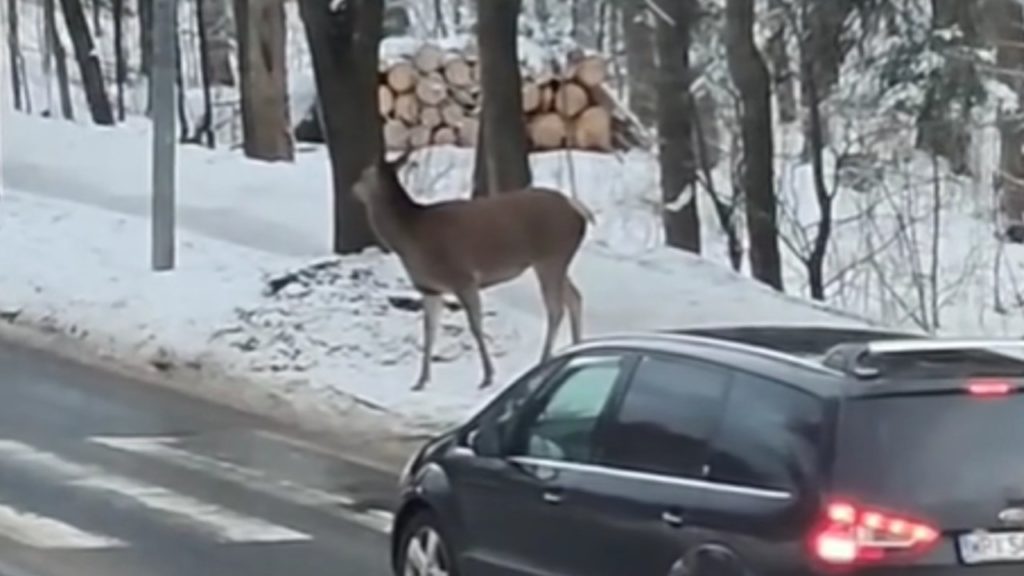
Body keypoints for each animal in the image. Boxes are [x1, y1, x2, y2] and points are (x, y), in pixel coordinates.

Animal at [352, 150, 593, 389]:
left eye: (364, 174)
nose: (353, 188)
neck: (411, 236)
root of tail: (579, 209)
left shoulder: (463, 278)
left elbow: (475, 326)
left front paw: (488, 375)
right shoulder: (429, 288)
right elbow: (429, 331)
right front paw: (421, 380)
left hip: (551, 257)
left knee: (556, 308)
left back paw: (545, 359)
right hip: (554, 261)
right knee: (575, 297)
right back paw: (576, 347)